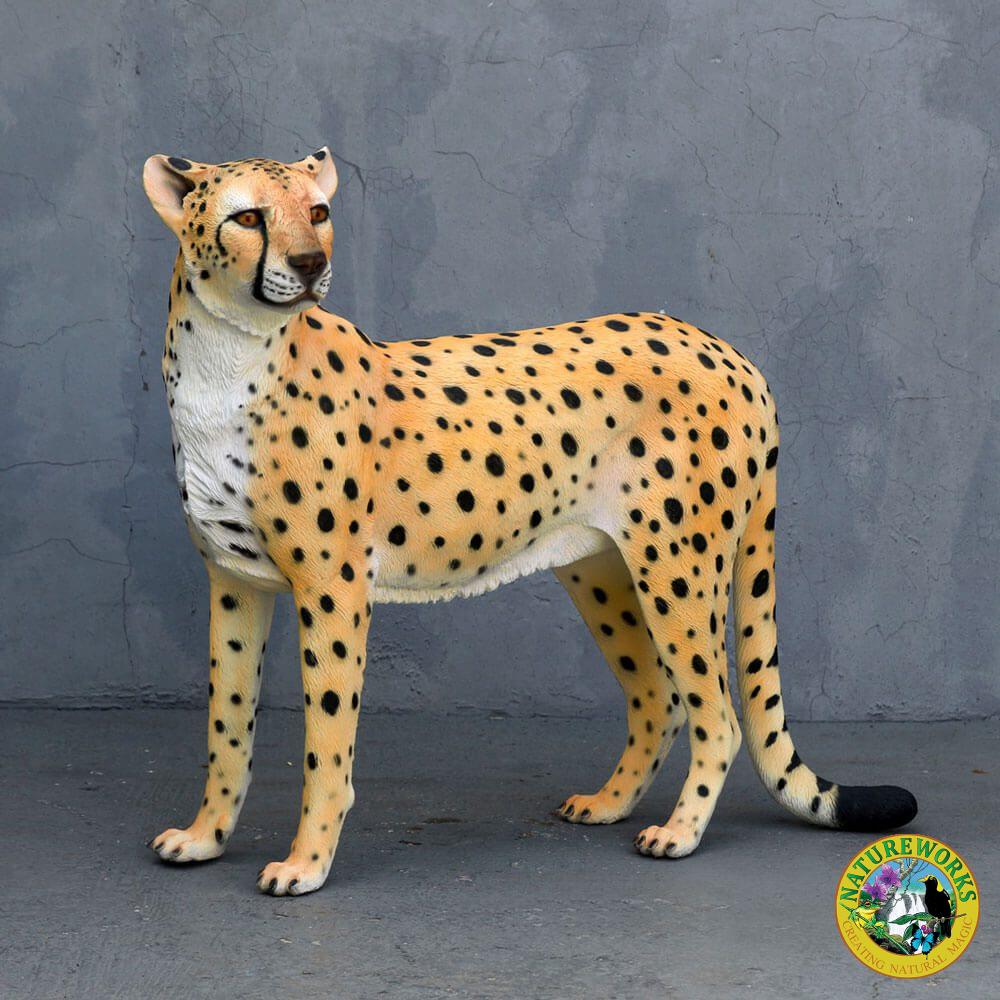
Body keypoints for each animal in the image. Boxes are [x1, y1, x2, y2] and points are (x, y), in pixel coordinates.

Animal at [141, 148, 917, 896]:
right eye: (248, 217)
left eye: (319, 211)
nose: (309, 264)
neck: (227, 357)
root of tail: (727, 350)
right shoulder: (235, 583)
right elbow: (226, 724)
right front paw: (206, 837)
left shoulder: (334, 591)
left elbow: (325, 743)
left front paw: (306, 864)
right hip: (600, 567)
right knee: (659, 697)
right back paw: (608, 803)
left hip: (678, 567)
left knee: (717, 715)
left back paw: (680, 832)